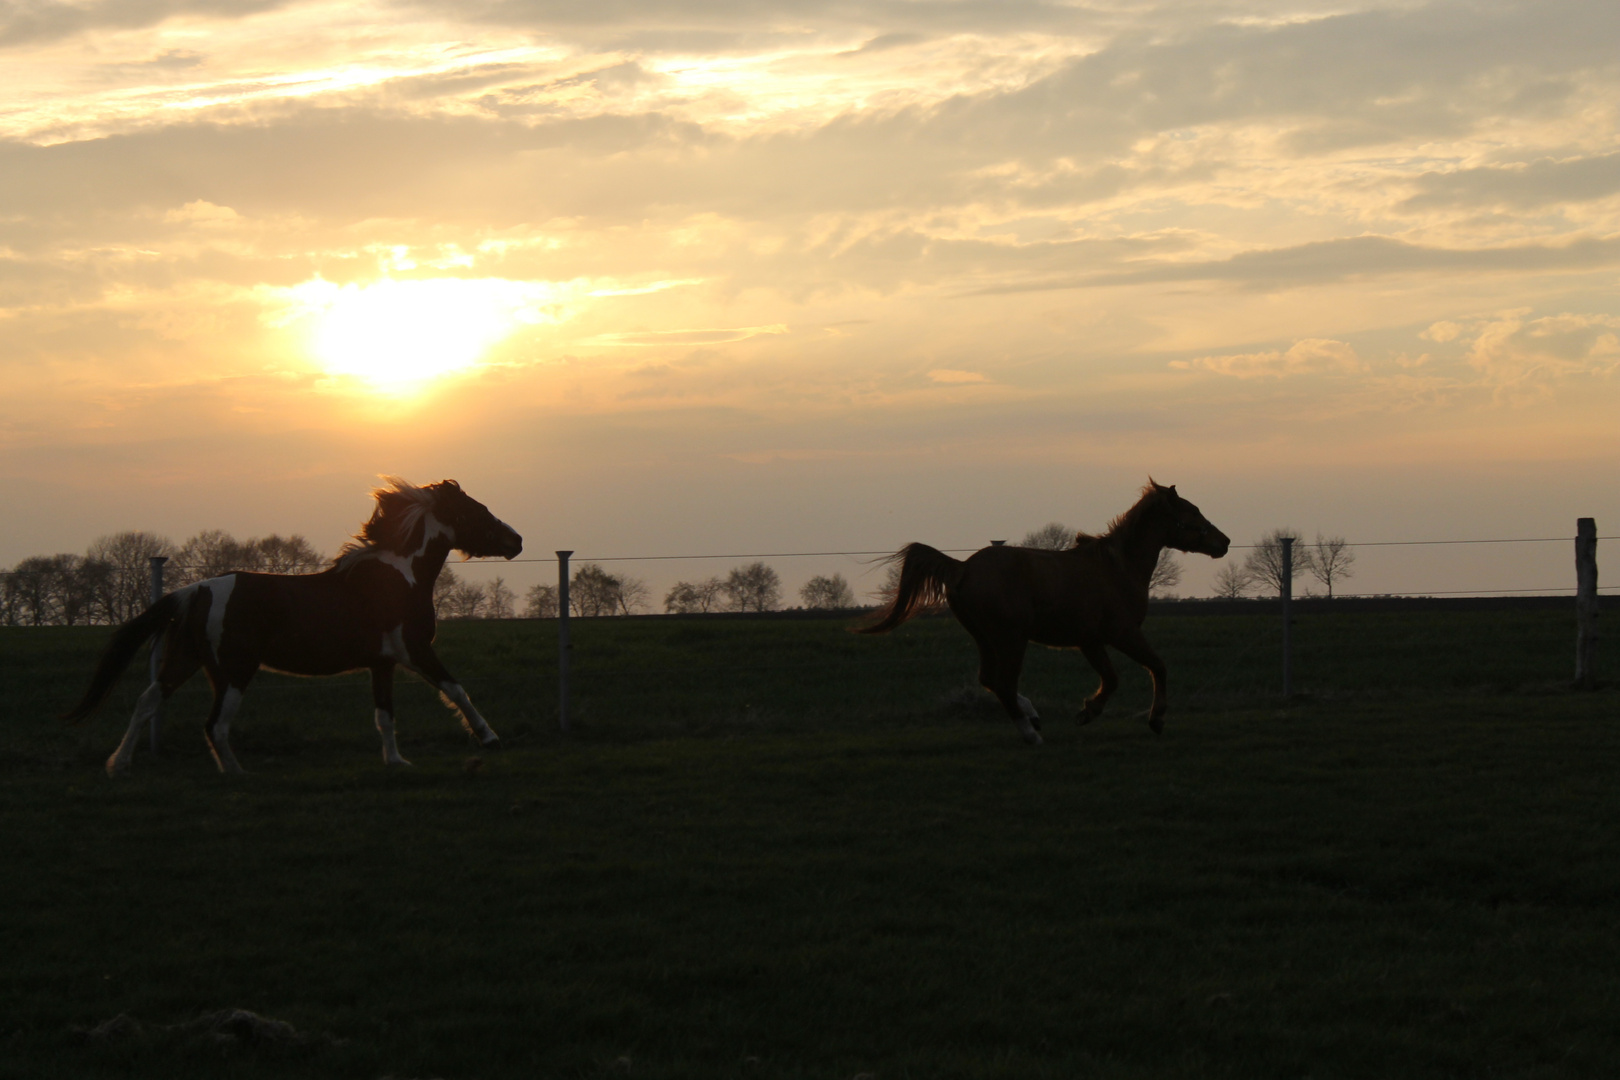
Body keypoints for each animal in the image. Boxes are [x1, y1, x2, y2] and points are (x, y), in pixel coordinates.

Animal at [61, 479, 518, 777]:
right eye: (475, 511)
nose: (517, 541)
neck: (399, 577)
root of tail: (197, 589)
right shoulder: (415, 650)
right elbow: (456, 690)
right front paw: (490, 738)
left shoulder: (382, 662)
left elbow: (384, 715)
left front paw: (395, 761)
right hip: (235, 670)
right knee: (214, 724)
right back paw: (236, 773)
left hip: (188, 659)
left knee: (148, 700)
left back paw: (119, 764)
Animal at [861, 485, 1224, 748]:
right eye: (1193, 512)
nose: (1224, 541)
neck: (1117, 569)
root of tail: (962, 567)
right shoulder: (1122, 633)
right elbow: (1156, 667)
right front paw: (1154, 719)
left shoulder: (1091, 641)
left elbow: (1111, 679)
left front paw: (1087, 712)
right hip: (1011, 639)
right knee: (1003, 683)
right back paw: (1032, 734)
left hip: (985, 638)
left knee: (990, 680)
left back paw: (1033, 717)